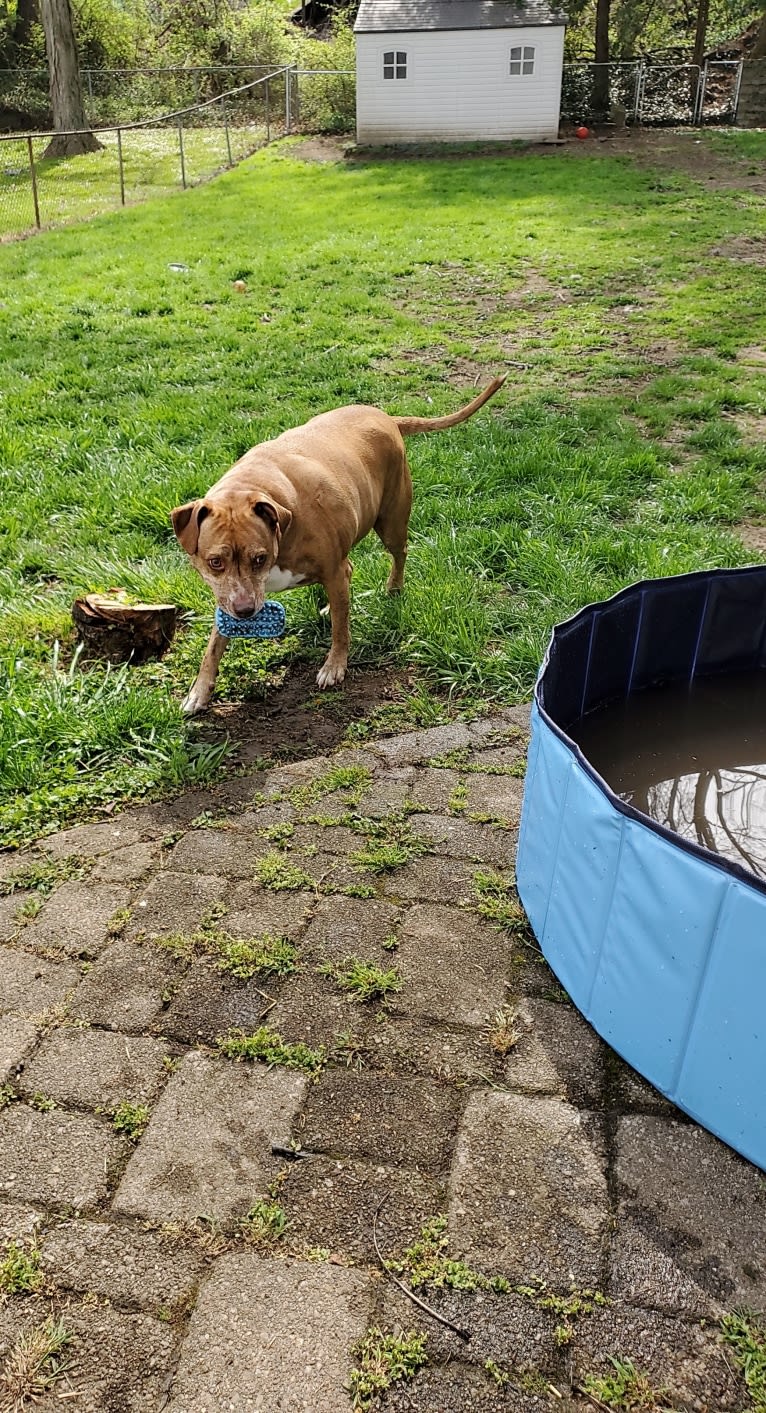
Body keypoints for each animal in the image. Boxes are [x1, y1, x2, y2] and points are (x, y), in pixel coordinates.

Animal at [175, 375, 511, 712]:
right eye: (215, 562)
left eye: (259, 558)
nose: (245, 612)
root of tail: (386, 417)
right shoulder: (228, 596)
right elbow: (213, 645)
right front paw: (199, 691)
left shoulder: (332, 571)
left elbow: (341, 629)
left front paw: (334, 666)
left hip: (391, 521)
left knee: (398, 553)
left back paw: (393, 588)